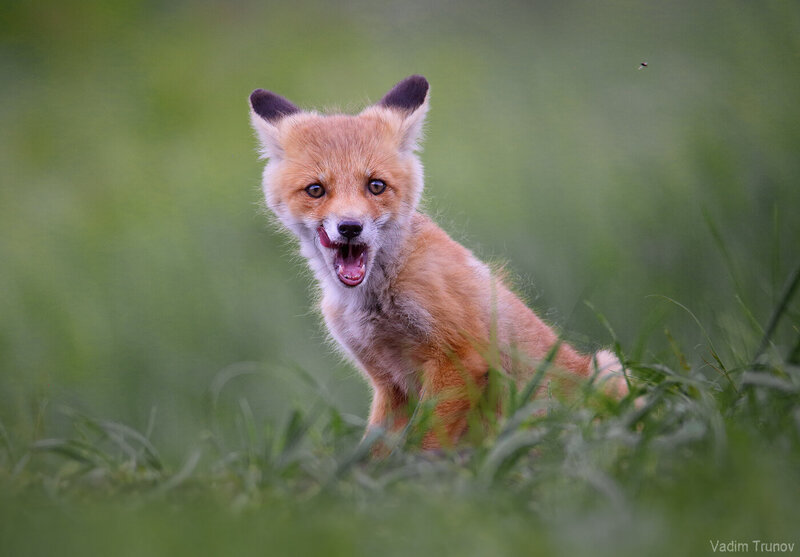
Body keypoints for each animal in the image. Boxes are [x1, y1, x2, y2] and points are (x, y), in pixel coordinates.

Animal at [248, 75, 628, 449]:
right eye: (316, 190)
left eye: (376, 186)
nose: (350, 227)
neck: (375, 299)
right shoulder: (389, 384)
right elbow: (375, 453)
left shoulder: (460, 357)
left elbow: (426, 445)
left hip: (606, 369)